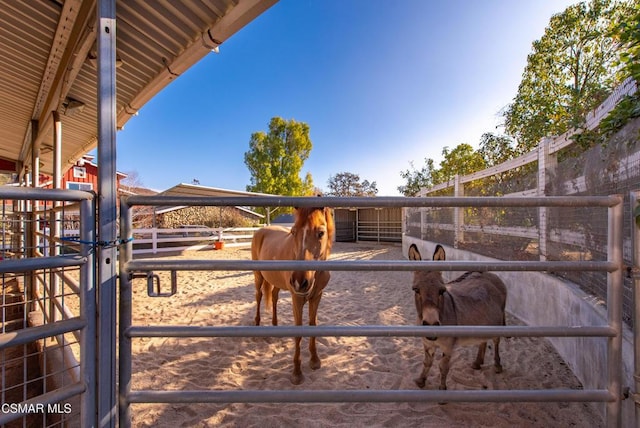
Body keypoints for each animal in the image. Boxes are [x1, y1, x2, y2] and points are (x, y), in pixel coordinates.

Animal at [250, 207, 336, 384]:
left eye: (321, 233)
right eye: (293, 231)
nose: (299, 282)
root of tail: (261, 230)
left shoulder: (317, 296)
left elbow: (313, 325)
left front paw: (315, 360)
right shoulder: (297, 299)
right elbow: (298, 332)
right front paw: (297, 373)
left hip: (275, 282)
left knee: (274, 297)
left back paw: (275, 326)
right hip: (258, 276)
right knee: (258, 296)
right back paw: (257, 324)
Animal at [412, 244, 508, 392]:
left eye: (442, 291)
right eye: (416, 290)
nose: (431, 326)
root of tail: (492, 275)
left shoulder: (448, 347)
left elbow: (443, 367)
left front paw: (442, 389)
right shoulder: (427, 344)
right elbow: (427, 362)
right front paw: (421, 381)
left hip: (497, 323)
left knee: (496, 341)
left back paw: (497, 366)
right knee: (483, 340)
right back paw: (477, 363)